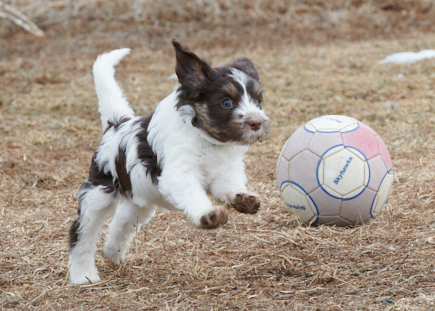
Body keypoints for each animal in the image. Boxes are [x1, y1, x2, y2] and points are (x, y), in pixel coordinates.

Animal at [69, 40, 270, 286]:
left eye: (257, 101)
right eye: (226, 102)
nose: (256, 123)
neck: (206, 138)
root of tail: (116, 125)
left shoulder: (226, 172)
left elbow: (229, 187)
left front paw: (244, 199)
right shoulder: (179, 175)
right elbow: (194, 195)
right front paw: (208, 216)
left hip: (139, 203)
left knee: (120, 225)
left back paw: (113, 255)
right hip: (98, 195)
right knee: (81, 234)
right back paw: (83, 275)